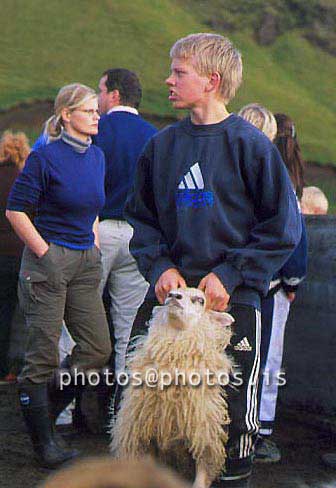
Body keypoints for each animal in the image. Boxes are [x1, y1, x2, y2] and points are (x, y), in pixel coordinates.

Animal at [110, 286, 234, 488]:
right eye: (169, 291)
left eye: (200, 300)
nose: (173, 296)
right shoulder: (145, 440)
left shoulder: (204, 441)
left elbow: (200, 481)